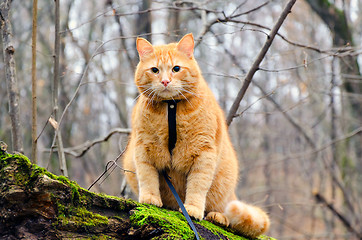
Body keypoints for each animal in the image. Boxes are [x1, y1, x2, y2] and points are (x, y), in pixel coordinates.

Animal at [123, 33, 270, 238]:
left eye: (176, 69)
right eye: (154, 70)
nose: (165, 81)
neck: (171, 107)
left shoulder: (204, 153)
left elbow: (198, 186)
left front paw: (192, 209)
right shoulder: (143, 148)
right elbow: (147, 177)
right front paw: (150, 198)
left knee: (224, 210)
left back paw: (218, 216)